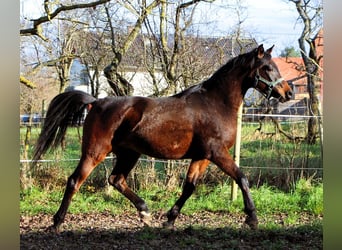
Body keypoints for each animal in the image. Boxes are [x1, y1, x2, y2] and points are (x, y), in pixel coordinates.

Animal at [33, 44, 292, 232]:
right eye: (267, 68)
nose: (289, 93)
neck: (215, 104)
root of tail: (96, 102)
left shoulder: (201, 156)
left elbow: (189, 187)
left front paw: (169, 219)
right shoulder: (217, 153)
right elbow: (242, 178)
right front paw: (252, 218)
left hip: (129, 153)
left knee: (116, 179)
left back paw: (145, 213)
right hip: (95, 151)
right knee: (75, 181)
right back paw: (56, 222)